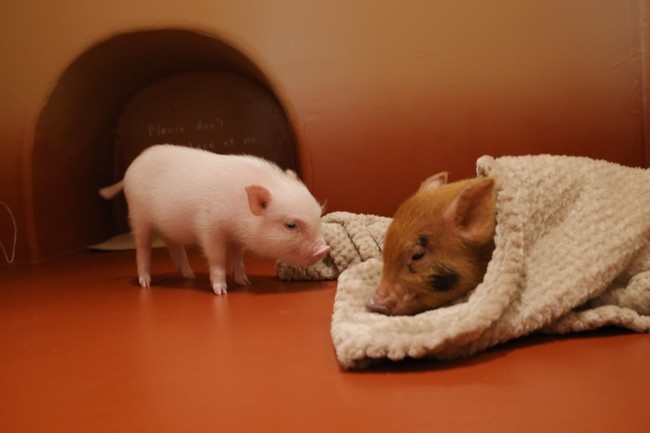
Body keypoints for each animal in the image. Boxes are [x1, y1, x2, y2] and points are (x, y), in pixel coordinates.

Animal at [99, 144, 330, 294]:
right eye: (291, 225)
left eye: (317, 216)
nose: (324, 248)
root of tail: (129, 170)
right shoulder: (209, 228)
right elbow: (218, 257)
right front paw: (222, 291)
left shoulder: (237, 238)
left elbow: (238, 258)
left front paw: (245, 283)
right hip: (138, 215)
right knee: (143, 248)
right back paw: (146, 283)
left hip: (169, 226)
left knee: (174, 246)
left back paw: (190, 276)